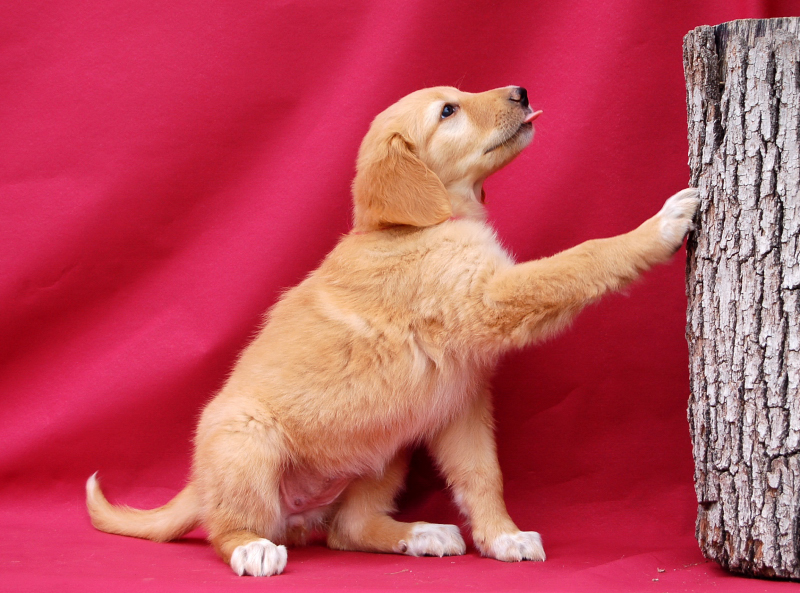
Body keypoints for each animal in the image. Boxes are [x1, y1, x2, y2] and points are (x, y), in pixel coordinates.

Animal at [86, 85, 699, 576]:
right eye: (448, 111)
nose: (522, 92)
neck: (416, 225)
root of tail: (201, 483)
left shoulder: (461, 402)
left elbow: (483, 475)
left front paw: (501, 537)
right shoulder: (493, 298)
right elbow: (578, 261)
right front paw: (657, 227)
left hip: (386, 451)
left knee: (348, 529)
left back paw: (422, 533)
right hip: (246, 439)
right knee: (228, 526)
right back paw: (252, 549)